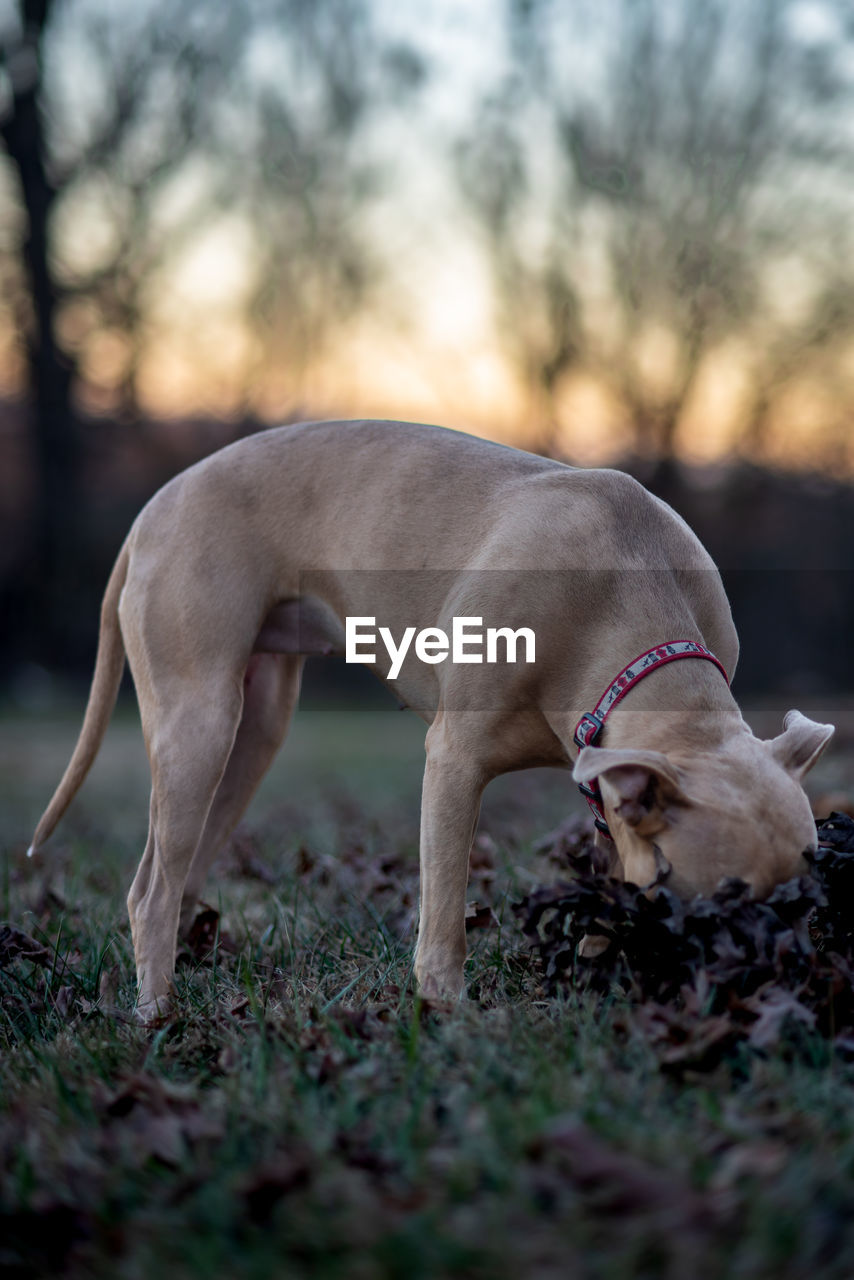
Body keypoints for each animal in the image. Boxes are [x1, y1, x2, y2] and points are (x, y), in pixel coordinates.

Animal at [28, 419, 834, 1018]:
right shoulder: (454, 761)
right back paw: (157, 1015)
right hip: (199, 718)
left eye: (807, 892)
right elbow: (445, 902)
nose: (791, 990)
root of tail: (154, 509)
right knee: (150, 890)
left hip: (252, 732)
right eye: (722, 915)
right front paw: (445, 1012)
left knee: (181, 865)